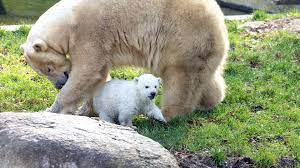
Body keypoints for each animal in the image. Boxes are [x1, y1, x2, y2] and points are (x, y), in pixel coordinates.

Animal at [21, 0, 227, 121]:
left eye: (48, 68)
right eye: (43, 71)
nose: (59, 84)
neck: (69, 17)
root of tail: (219, 23)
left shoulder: (90, 30)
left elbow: (87, 71)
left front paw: (51, 110)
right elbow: (99, 74)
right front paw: (86, 110)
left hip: (183, 38)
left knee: (181, 80)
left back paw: (167, 114)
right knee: (205, 77)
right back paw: (210, 102)